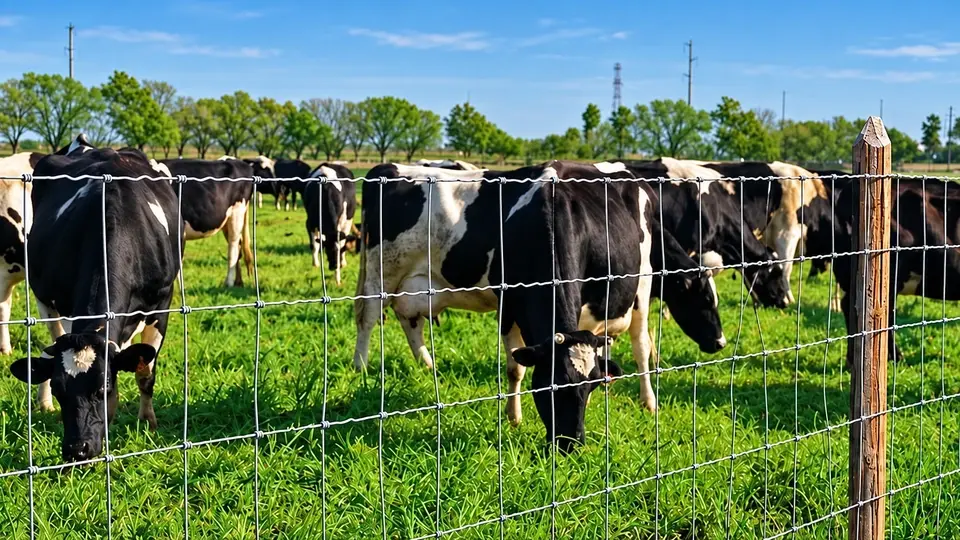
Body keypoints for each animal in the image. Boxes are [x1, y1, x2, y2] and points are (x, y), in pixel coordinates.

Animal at [10, 143, 181, 463]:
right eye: (59, 388)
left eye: (104, 388)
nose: (77, 449)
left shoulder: (162, 303)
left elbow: (145, 373)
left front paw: (148, 422)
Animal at [159, 157, 254, 287]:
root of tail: (238, 161)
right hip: (226, 220)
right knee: (239, 244)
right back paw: (238, 282)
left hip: (237, 212)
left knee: (233, 247)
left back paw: (228, 282)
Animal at [354, 161, 725, 450]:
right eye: (547, 386)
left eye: (588, 388)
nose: (570, 444)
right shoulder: (509, 302)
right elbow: (515, 368)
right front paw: (513, 417)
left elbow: (628, 350)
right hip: (380, 270)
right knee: (369, 316)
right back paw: (362, 367)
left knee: (409, 319)